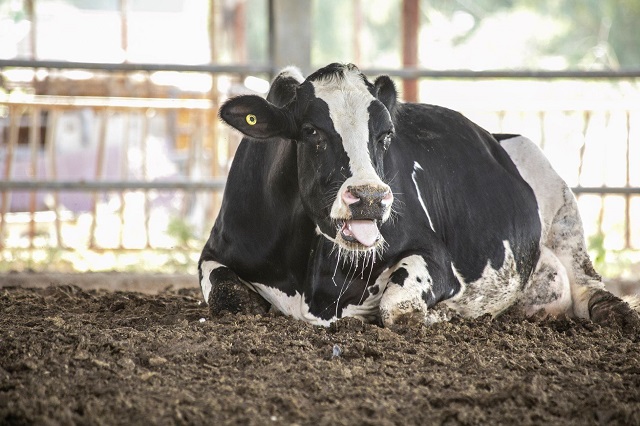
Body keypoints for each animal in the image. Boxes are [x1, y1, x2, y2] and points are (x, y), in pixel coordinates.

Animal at [198, 62, 636, 330]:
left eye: (386, 134)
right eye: (311, 131)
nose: (370, 197)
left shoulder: (436, 258)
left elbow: (398, 309)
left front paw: (442, 316)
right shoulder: (215, 250)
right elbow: (227, 297)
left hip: (561, 208)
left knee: (587, 281)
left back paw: (614, 312)